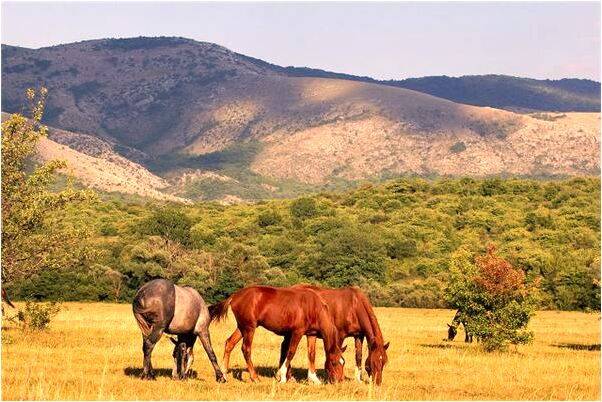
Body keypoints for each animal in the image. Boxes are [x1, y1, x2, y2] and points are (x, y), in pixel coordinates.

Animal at [209, 286, 344, 384]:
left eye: (343, 363)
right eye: (334, 363)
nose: (340, 381)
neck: (312, 306)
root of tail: (234, 296)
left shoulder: (311, 334)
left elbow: (311, 354)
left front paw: (314, 379)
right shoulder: (297, 332)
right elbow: (291, 352)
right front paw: (282, 376)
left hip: (242, 327)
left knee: (229, 343)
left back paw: (223, 374)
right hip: (249, 328)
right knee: (246, 349)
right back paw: (255, 377)